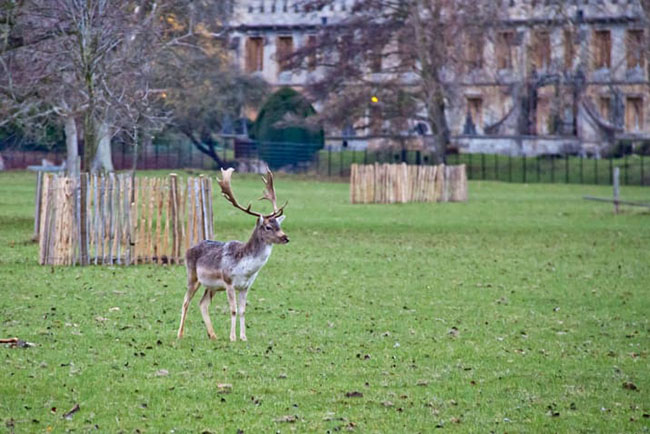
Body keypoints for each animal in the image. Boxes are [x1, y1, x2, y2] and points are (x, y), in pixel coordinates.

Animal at [177, 168, 288, 340]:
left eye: (279, 225)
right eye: (268, 227)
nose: (285, 237)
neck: (246, 269)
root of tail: (189, 248)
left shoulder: (245, 286)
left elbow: (242, 311)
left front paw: (243, 337)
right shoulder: (229, 282)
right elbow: (233, 310)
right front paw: (233, 338)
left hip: (213, 287)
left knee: (203, 304)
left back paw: (213, 335)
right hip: (192, 277)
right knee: (185, 302)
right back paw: (180, 334)